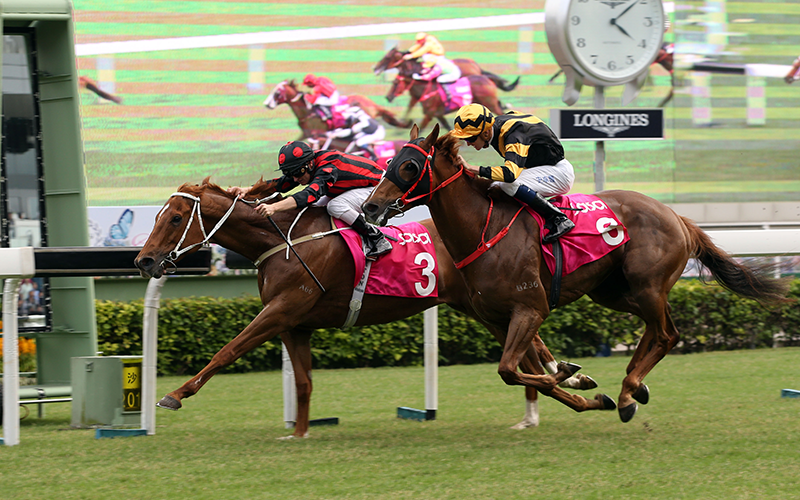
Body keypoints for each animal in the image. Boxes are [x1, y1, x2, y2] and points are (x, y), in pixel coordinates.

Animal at [134, 178, 600, 436]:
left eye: (174, 218)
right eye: (156, 215)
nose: (144, 261)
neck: (282, 239)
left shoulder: (282, 309)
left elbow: (227, 350)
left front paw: (174, 395)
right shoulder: (293, 324)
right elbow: (303, 383)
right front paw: (299, 433)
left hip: (491, 308)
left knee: (528, 353)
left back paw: (567, 389)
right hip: (486, 310)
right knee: (531, 352)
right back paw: (571, 386)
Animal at [364, 124, 792, 422]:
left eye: (409, 166)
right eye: (387, 163)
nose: (371, 207)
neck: (484, 229)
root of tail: (676, 215)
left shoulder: (530, 308)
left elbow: (510, 370)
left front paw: (571, 374)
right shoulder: (496, 318)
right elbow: (523, 371)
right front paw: (584, 390)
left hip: (647, 285)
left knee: (666, 334)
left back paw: (630, 389)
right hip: (614, 292)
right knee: (656, 331)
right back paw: (630, 390)